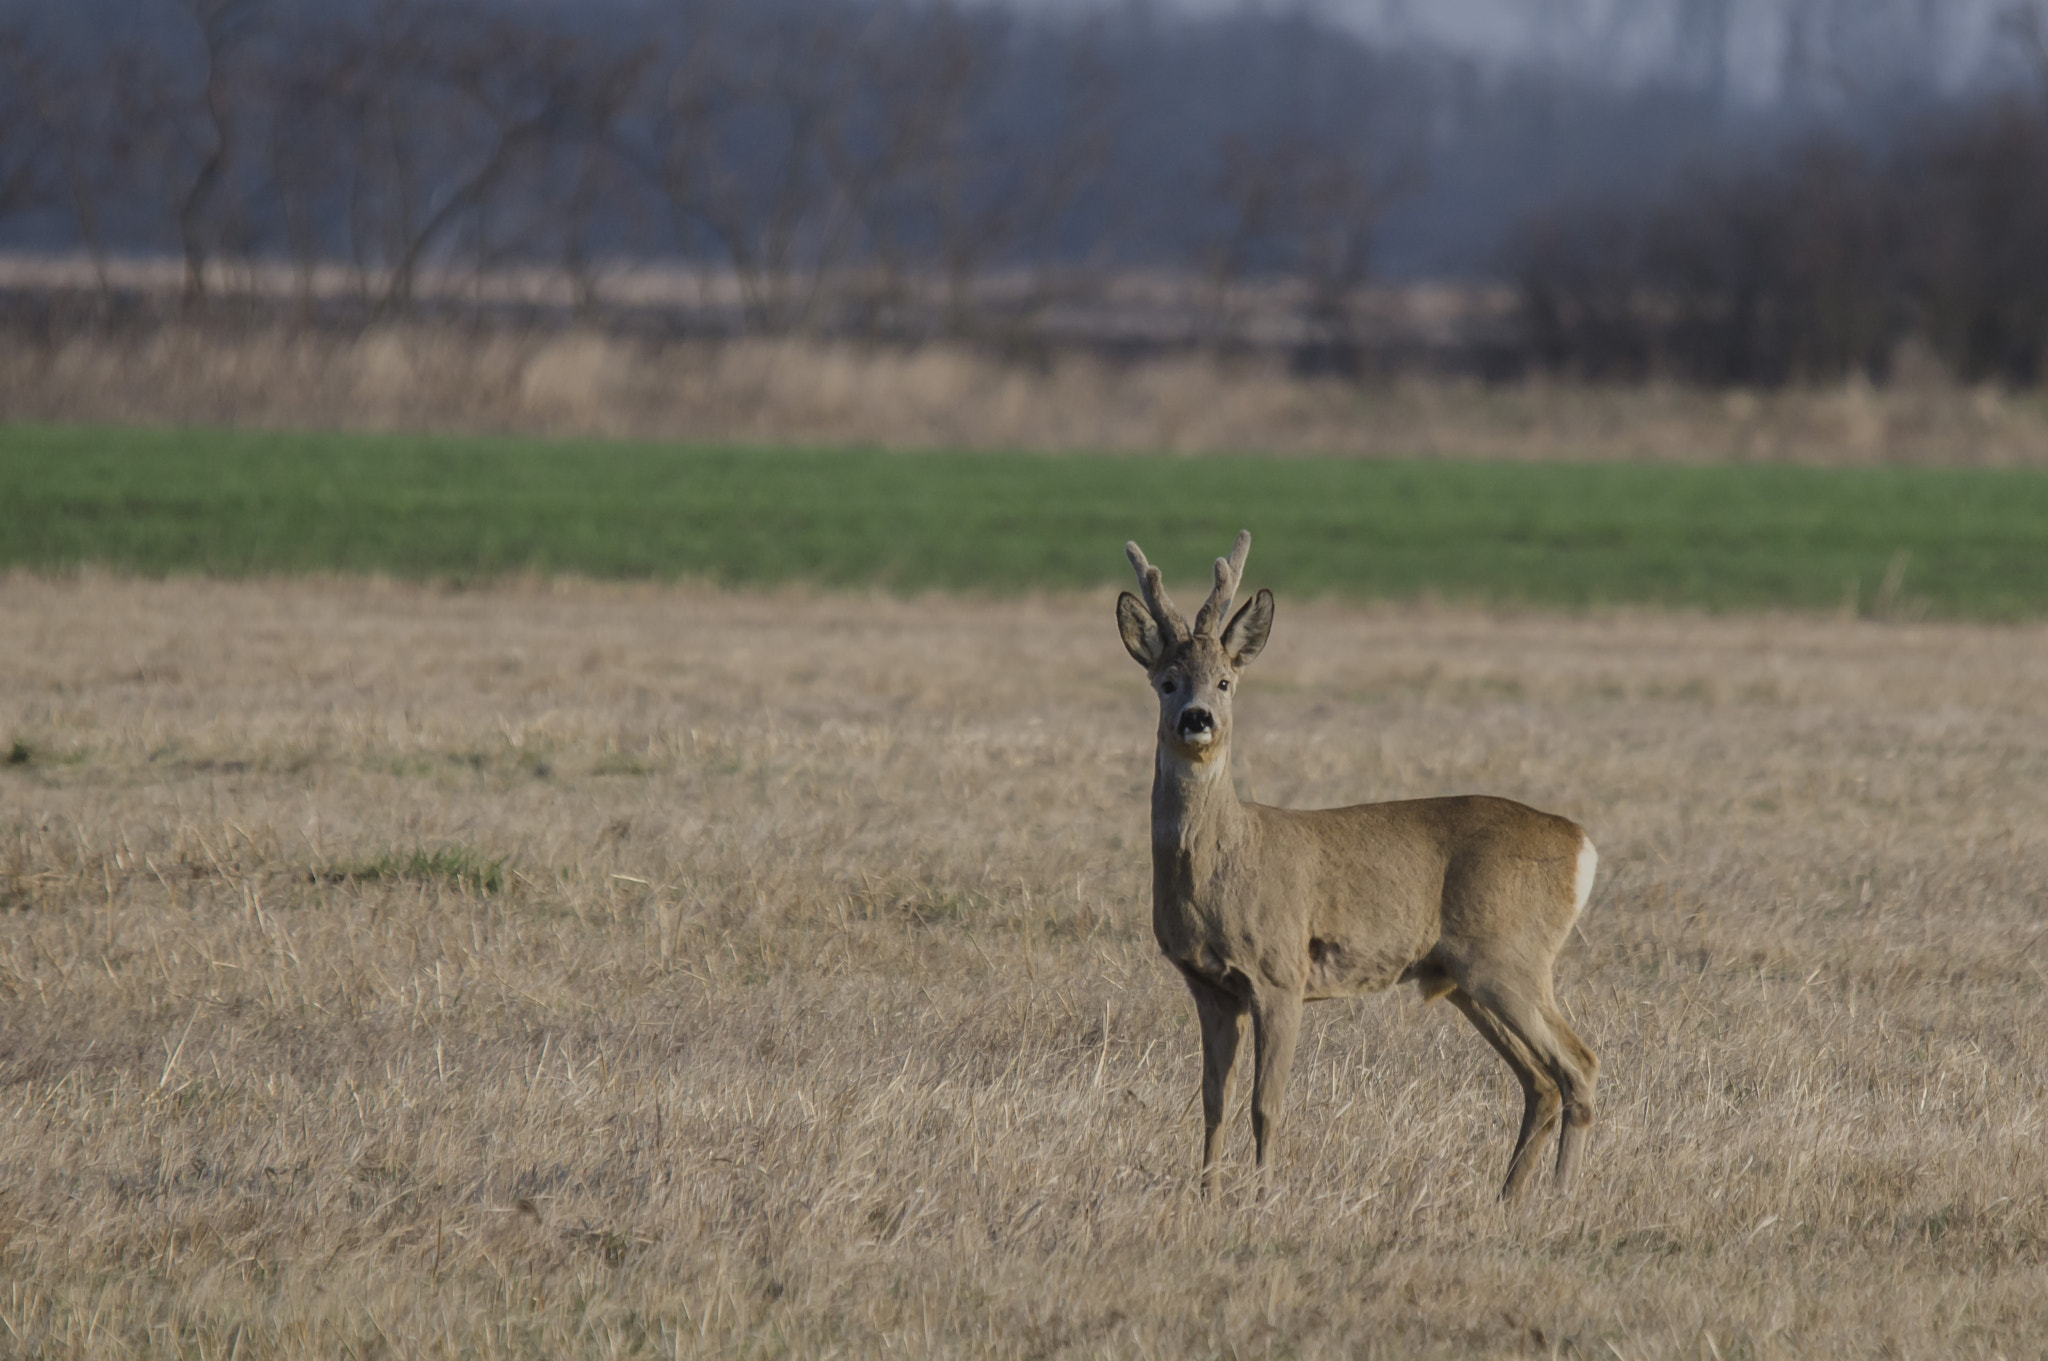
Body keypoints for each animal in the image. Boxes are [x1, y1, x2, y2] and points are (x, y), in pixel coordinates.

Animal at [1122, 528, 1597, 1187]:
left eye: (1224, 681)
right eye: (1167, 680)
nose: (1197, 719)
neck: (1225, 863)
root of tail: (1581, 842)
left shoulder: (1281, 972)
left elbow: (1266, 1104)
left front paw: (1264, 1194)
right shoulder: (1209, 987)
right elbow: (1213, 1101)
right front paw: (1207, 1193)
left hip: (1513, 958)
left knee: (1579, 1064)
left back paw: (1559, 1196)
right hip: (1468, 977)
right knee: (1541, 1081)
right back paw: (1510, 1197)